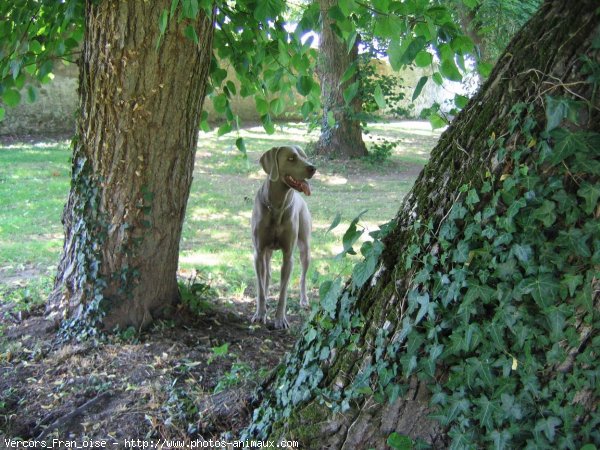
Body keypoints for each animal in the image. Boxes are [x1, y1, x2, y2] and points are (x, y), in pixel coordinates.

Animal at [250, 146, 316, 328]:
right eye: (291, 158)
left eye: (304, 157)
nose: (313, 168)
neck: (277, 206)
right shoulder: (258, 251)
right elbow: (260, 287)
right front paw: (260, 314)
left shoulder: (288, 256)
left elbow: (283, 291)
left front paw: (280, 319)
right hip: (267, 252)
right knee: (266, 275)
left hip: (305, 247)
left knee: (303, 276)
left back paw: (304, 300)